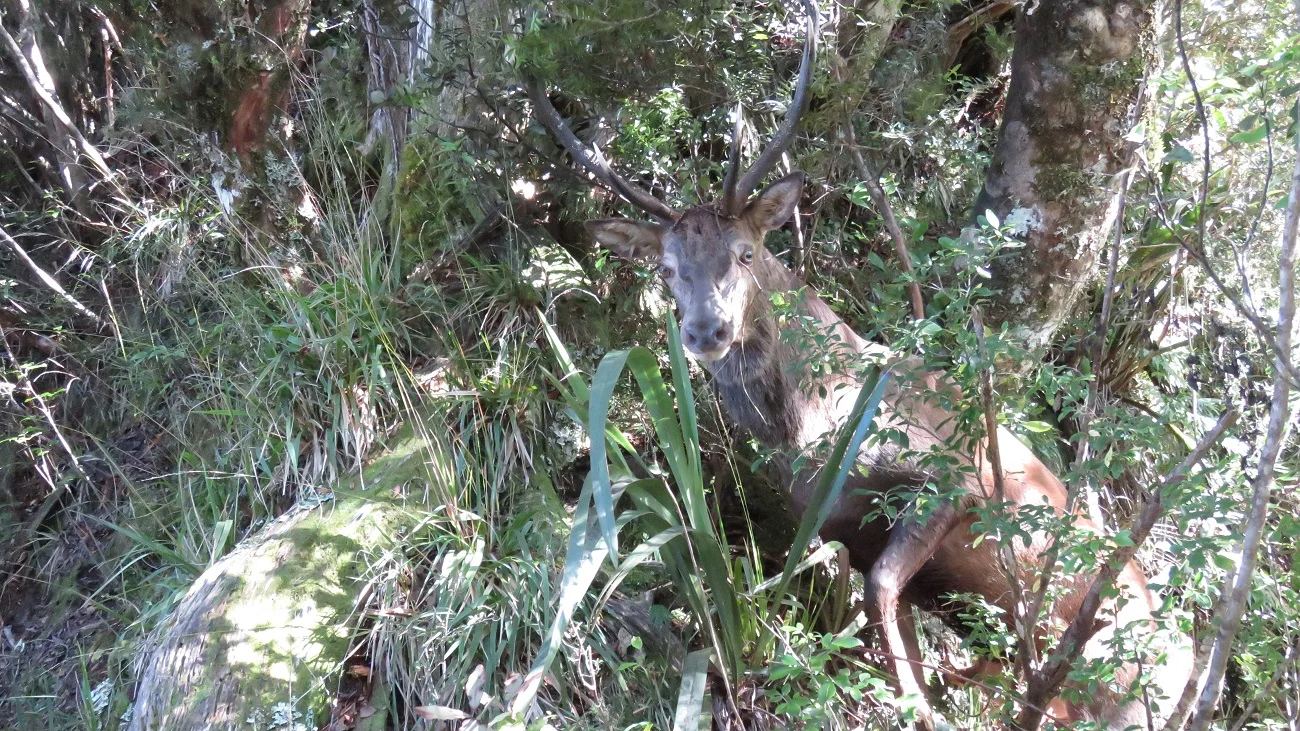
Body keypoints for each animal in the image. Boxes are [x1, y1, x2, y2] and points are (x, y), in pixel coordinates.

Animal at [523, 4, 1192, 728]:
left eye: (745, 253)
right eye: (667, 269)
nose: (706, 331)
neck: (803, 423)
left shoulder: (953, 473)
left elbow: (879, 594)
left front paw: (917, 707)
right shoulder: (840, 528)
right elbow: (885, 615)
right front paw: (915, 693)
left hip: (1129, 680)